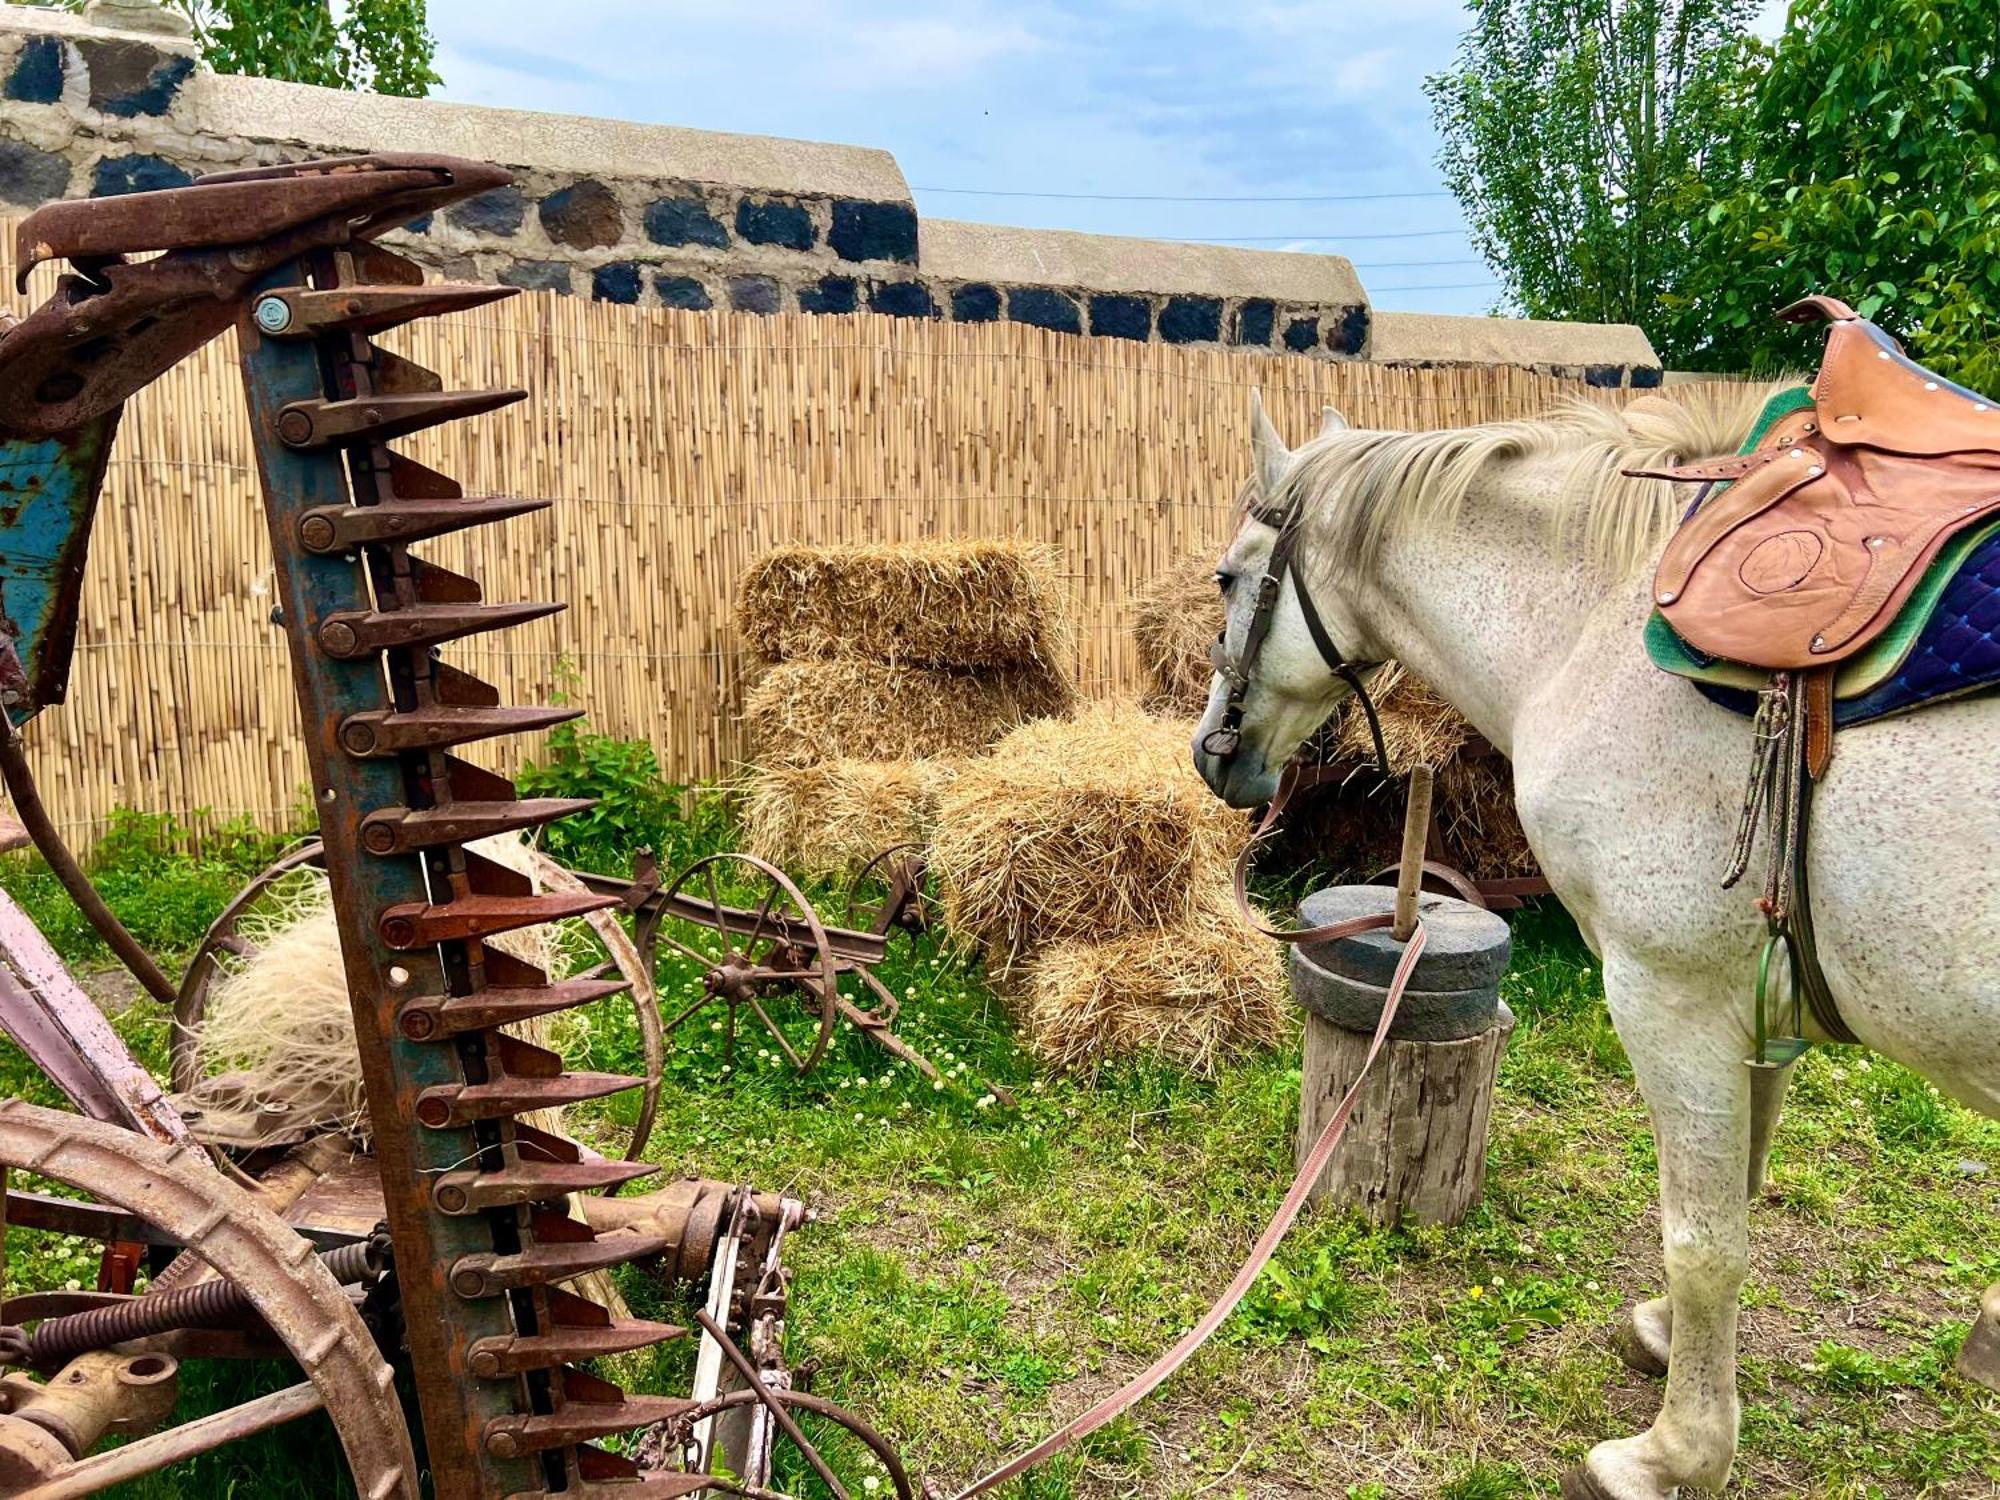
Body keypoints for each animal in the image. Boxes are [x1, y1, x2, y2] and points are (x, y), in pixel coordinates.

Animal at [1192, 390, 1992, 1500]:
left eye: (1228, 577)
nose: (1209, 750)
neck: (1600, 624)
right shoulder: (1759, 996)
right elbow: (1740, 1184)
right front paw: (1668, 1341)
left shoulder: (1669, 995)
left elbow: (1706, 1239)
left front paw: (1674, 1453)